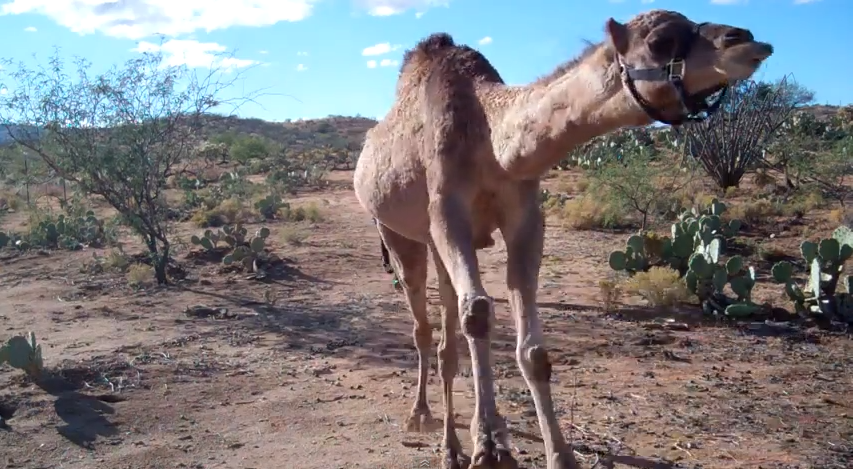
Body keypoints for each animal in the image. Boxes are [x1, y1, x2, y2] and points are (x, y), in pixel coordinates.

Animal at [352, 8, 772, 468]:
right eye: (660, 40)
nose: (744, 38)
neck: (490, 136)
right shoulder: (447, 211)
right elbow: (478, 312)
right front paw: (489, 446)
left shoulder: (525, 217)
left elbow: (532, 351)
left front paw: (559, 454)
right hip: (396, 231)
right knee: (423, 323)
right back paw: (423, 419)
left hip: (432, 240)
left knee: (448, 333)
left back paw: (454, 445)